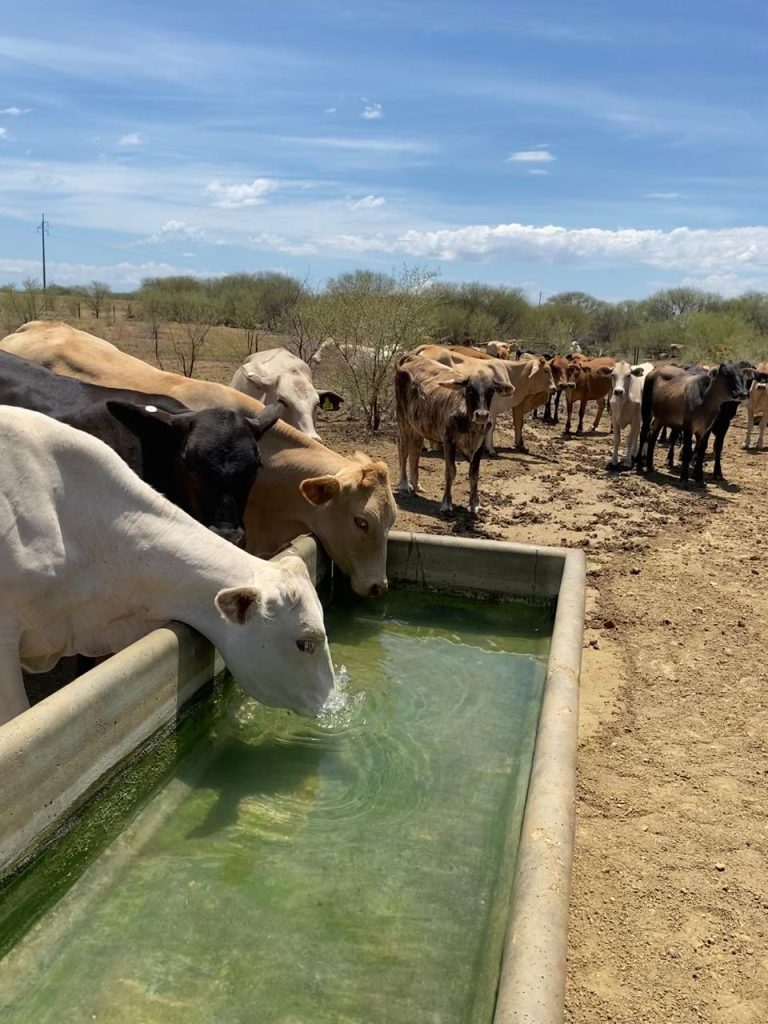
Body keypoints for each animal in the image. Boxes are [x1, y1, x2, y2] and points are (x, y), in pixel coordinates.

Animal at [394, 352, 514, 514]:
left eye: (491, 390)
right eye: (470, 389)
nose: (482, 415)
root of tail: (412, 357)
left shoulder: (480, 444)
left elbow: (474, 474)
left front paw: (474, 504)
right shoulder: (448, 441)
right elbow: (450, 471)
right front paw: (446, 504)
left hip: (417, 425)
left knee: (415, 451)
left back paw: (416, 485)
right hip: (403, 419)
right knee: (403, 449)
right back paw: (404, 484)